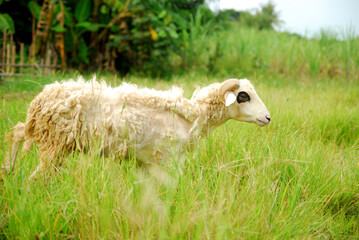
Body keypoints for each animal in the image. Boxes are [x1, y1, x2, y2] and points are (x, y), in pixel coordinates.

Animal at [1, 76, 272, 179]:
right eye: (243, 96)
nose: (268, 118)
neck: (192, 114)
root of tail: (41, 99)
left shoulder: (147, 162)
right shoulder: (169, 158)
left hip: (47, 136)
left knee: (17, 131)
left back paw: (8, 169)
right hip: (54, 143)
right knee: (37, 176)